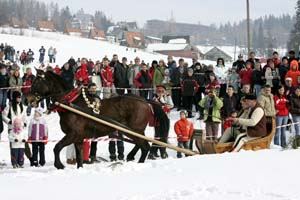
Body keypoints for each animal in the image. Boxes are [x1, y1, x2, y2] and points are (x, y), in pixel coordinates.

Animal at [24, 69, 170, 170]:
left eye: (37, 82)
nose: (27, 100)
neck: (70, 103)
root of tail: (145, 101)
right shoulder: (78, 138)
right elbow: (79, 156)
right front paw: (79, 168)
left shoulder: (73, 134)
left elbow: (57, 147)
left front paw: (59, 165)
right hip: (132, 130)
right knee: (142, 144)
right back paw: (131, 157)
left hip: (134, 129)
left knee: (145, 146)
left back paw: (138, 162)